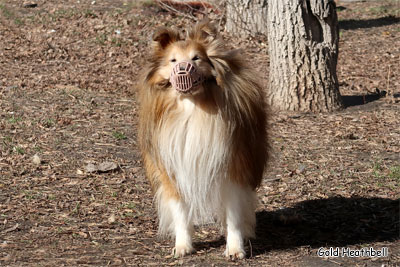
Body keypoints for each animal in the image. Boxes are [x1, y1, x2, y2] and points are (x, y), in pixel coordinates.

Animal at [138, 19, 268, 260]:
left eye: (196, 58)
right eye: (173, 60)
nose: (182, 69)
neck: (193, 109)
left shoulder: (232, 168)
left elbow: (234, 213)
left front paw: (235, 248)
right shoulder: (174, 168)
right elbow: (180, 212)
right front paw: (182, 246)